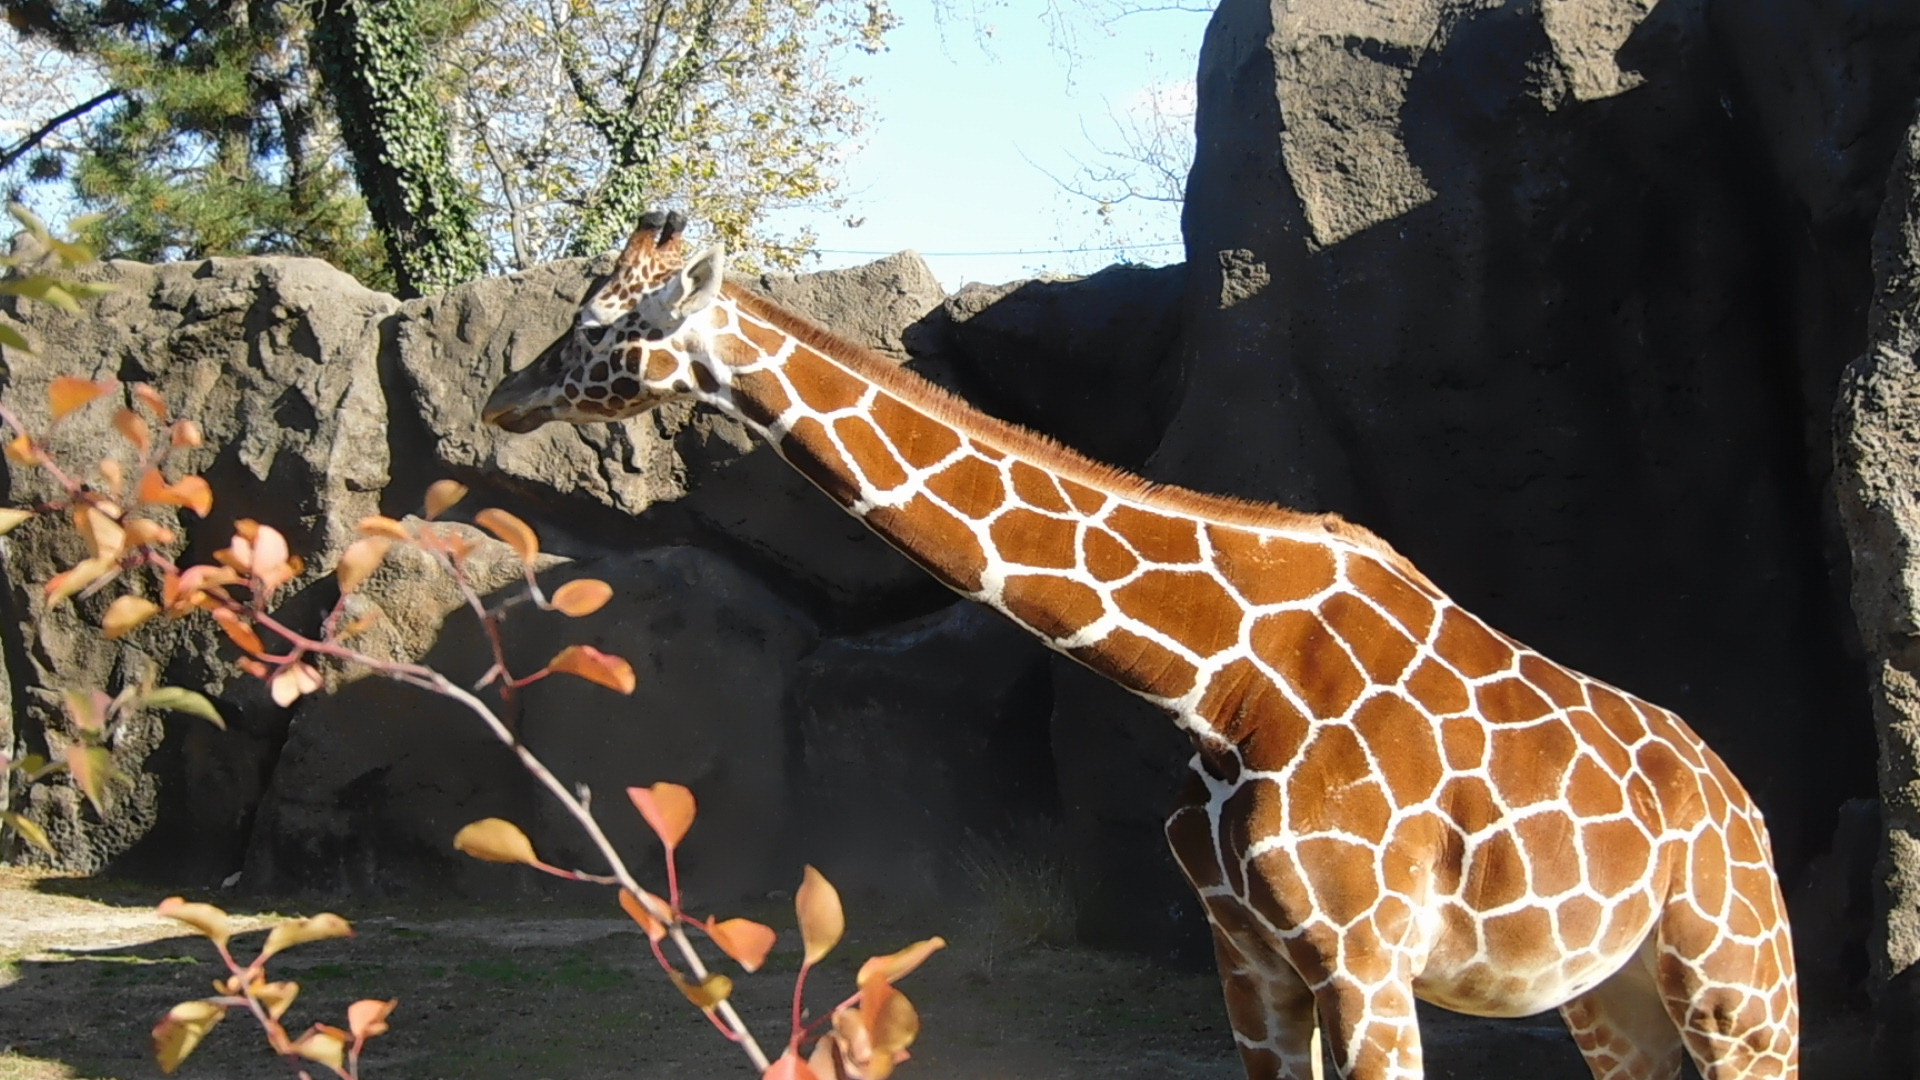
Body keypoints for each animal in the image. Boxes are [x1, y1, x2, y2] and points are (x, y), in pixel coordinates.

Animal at [481, 211, 1799, 1080]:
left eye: (596, 322)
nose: (502, 397)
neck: (1219, 680)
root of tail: (1737, 799)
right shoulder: (1250, 955)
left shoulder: (1365, 959)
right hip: (1611, 995)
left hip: (1738, 980)